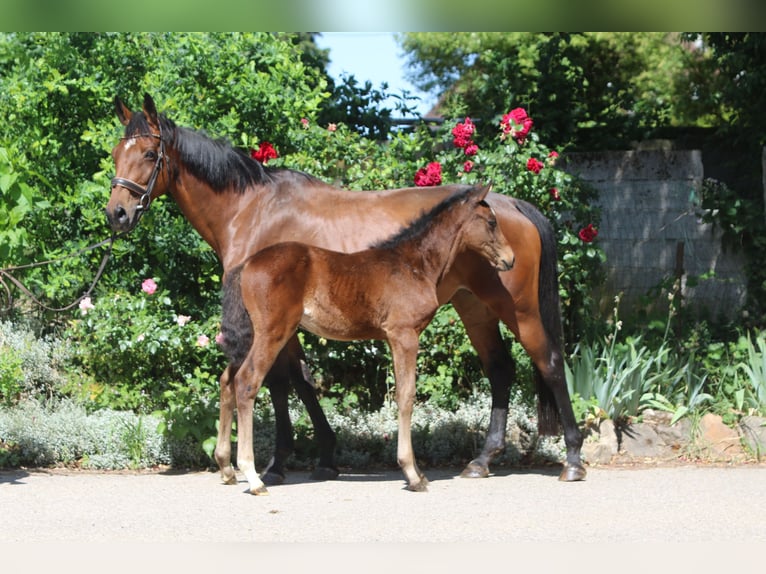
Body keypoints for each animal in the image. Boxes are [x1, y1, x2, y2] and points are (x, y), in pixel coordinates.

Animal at [218, 183, 515, 493]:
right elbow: (406, 396)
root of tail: (247, 263)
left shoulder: (394, 338)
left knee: (227, 380)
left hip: (251, 335)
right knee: (246, 382)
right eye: (491, 222)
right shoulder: (404, 335)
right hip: (273, 332)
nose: (510, 259)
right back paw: (253, 477)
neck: (414, 264)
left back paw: (226, 468)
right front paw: (413, 474)